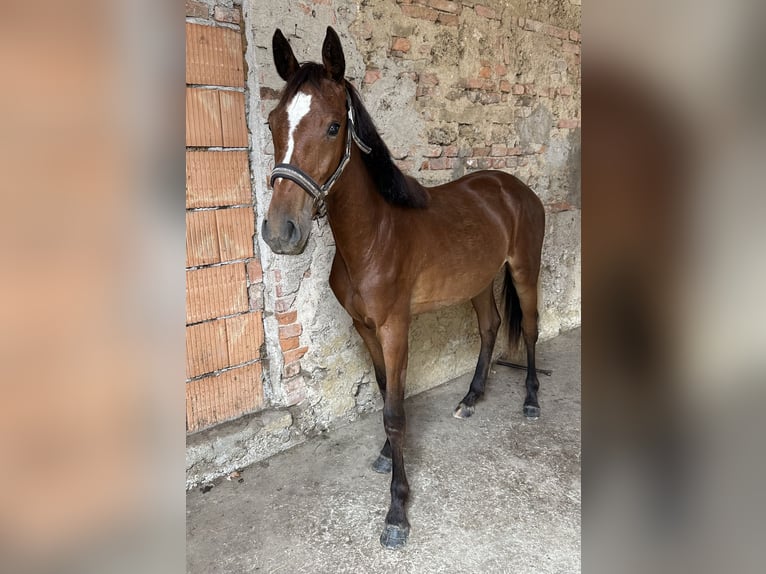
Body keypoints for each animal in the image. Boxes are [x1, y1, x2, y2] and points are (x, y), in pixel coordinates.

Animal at [261, 26, 545, 549]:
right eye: (273, 123)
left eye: (333, 127)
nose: (280, 232)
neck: (374, 236)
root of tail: (514, 188)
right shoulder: (365, 328)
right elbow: (383, 394)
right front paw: (384, 455)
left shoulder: (395, 328)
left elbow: (396, 411)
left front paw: (397, 510)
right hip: (478, 281)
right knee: (491, 326)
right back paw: (471, 399)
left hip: (524, 269)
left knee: (531, 329)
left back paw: (532, 400)